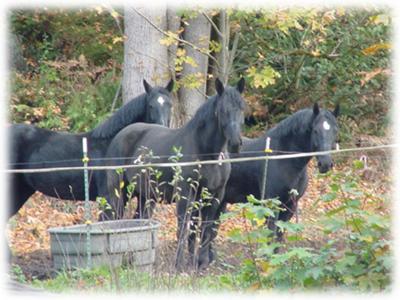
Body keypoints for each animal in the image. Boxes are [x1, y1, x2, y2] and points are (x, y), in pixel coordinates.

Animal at [98, 78, 245, 270]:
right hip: (118, 192)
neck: (207, 153)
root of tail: (120, 135)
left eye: (242, 107)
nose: (236, 143)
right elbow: (183, 228)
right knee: (109, 218)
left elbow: (204, 229)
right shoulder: (185, 194)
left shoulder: (214, 196)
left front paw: (199, 263)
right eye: (223, 110)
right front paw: (179, 265)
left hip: (145, 195)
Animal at [223, 103, 340, 239]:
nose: (325, 164)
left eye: (335, 130)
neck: (283, 159)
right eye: (315, 130)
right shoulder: (272, 207)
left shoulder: (290, 207)